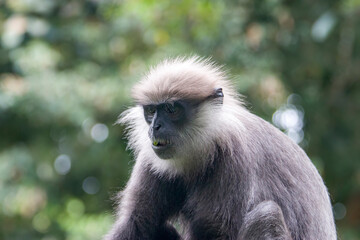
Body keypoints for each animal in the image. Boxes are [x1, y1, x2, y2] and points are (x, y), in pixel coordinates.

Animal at [105, 56, 338, 240]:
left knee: (265, 215)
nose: (155, 127)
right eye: (151, 111)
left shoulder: (236, 157)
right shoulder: (151, 159)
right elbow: (137, 223)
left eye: (171, 109)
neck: (202, 152)